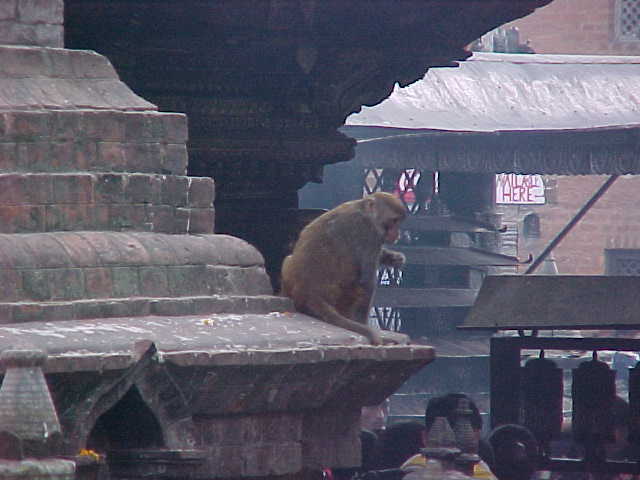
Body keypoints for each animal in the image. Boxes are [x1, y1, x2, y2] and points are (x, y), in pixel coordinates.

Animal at [282, 191, 408, 344]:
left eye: (399, 222)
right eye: (394, 221)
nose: (397, 233)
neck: (365, 210)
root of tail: (309, 292)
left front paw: (393, 258)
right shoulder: (369, 232)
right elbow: (367, 281)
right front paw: (362, 323)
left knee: (287, 259)